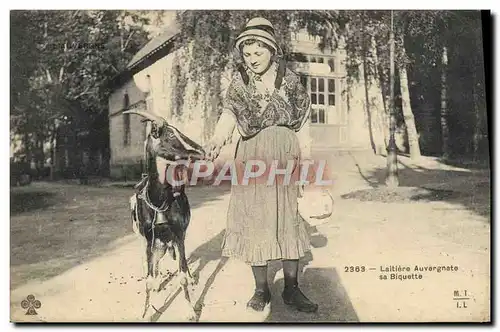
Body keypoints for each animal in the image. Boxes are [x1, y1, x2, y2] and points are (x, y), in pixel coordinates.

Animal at [126, 110, 206, 320]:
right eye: (169, 134)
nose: (201, 151)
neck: (160, 201)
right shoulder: (149, 238)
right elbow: (148, 277)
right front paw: (146, 314)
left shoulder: (178, 234)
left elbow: (182, 275)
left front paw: (190, 311)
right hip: (148, 241)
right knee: (151, 264)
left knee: (181, 263)